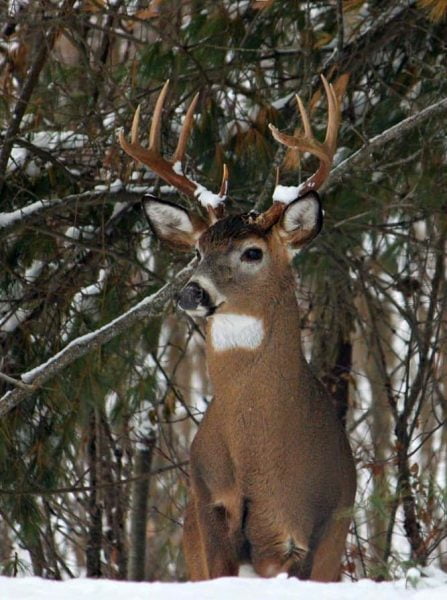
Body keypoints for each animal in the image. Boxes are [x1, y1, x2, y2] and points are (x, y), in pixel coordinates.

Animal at [120, 78, 356, 580]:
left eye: (252, 252)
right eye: (197, 251)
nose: (192, 292)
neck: (259, 457)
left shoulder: (307, 535)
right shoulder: (209, 509)